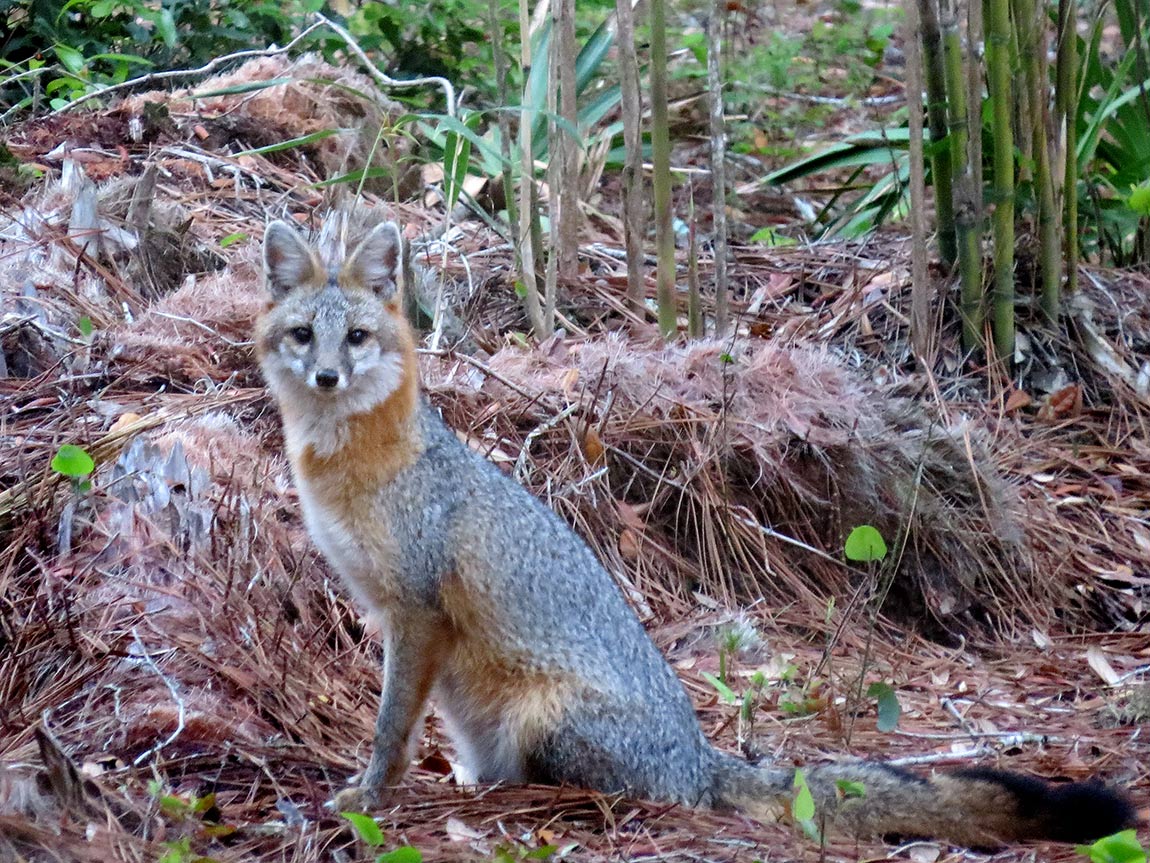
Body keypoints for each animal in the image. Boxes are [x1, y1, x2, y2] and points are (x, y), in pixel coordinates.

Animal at [255, 215, 1138, 848]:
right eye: (303, 335)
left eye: (357, 337)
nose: (327, 375)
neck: (355, 463)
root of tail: (697, 754)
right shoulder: (386, 610)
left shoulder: (415, 610)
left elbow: (388, 728)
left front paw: (371, 794)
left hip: (544, 722)